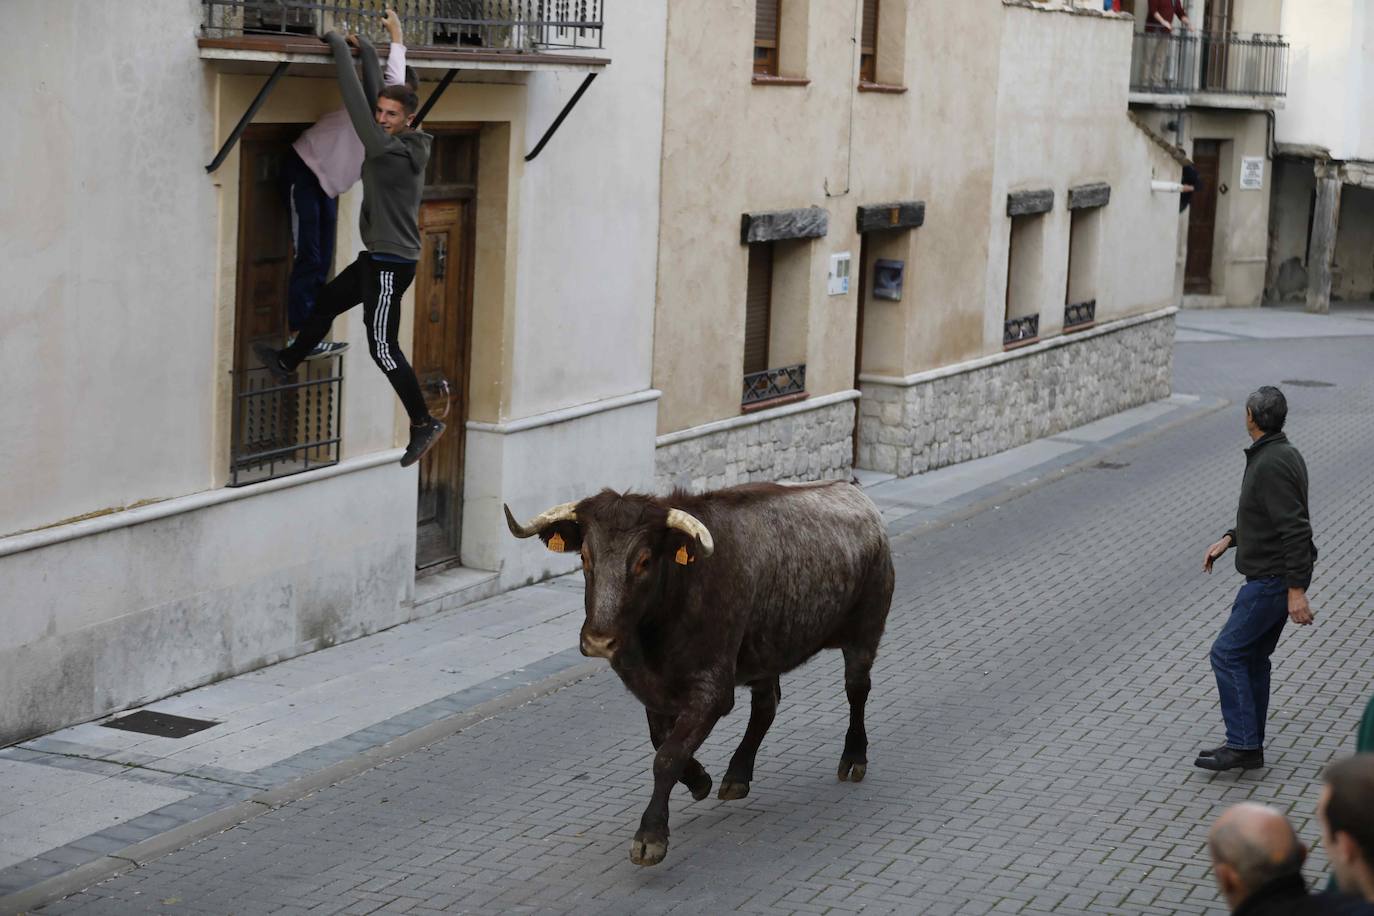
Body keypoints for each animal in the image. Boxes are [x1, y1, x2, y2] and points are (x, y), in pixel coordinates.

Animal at [502, 480, 890, 867]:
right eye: (584, 556)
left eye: (644, 560)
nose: (599, 640)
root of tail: (856, 495)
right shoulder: (652, 691)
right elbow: (663, 742)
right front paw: (700, 779)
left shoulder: (712, 691)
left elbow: (667, 756)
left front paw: (651, 836)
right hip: (765, 649)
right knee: (766, 705)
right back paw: (737, 775)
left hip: (864, 634)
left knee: (857, 689)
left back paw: (854, 758)